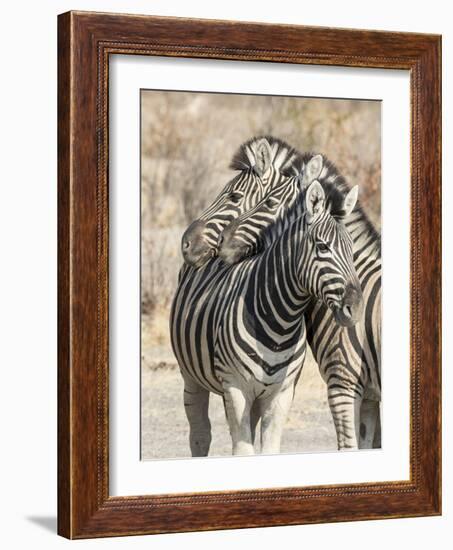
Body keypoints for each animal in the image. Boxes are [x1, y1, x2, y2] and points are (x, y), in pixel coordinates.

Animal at [169, 180, 360, 458]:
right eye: (323, 247)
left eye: (352, 251)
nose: (355, 308)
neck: (281, 320)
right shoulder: (235, 387)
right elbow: (242, 450)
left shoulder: (281, 393)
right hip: (191, 376)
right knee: (200, 435)